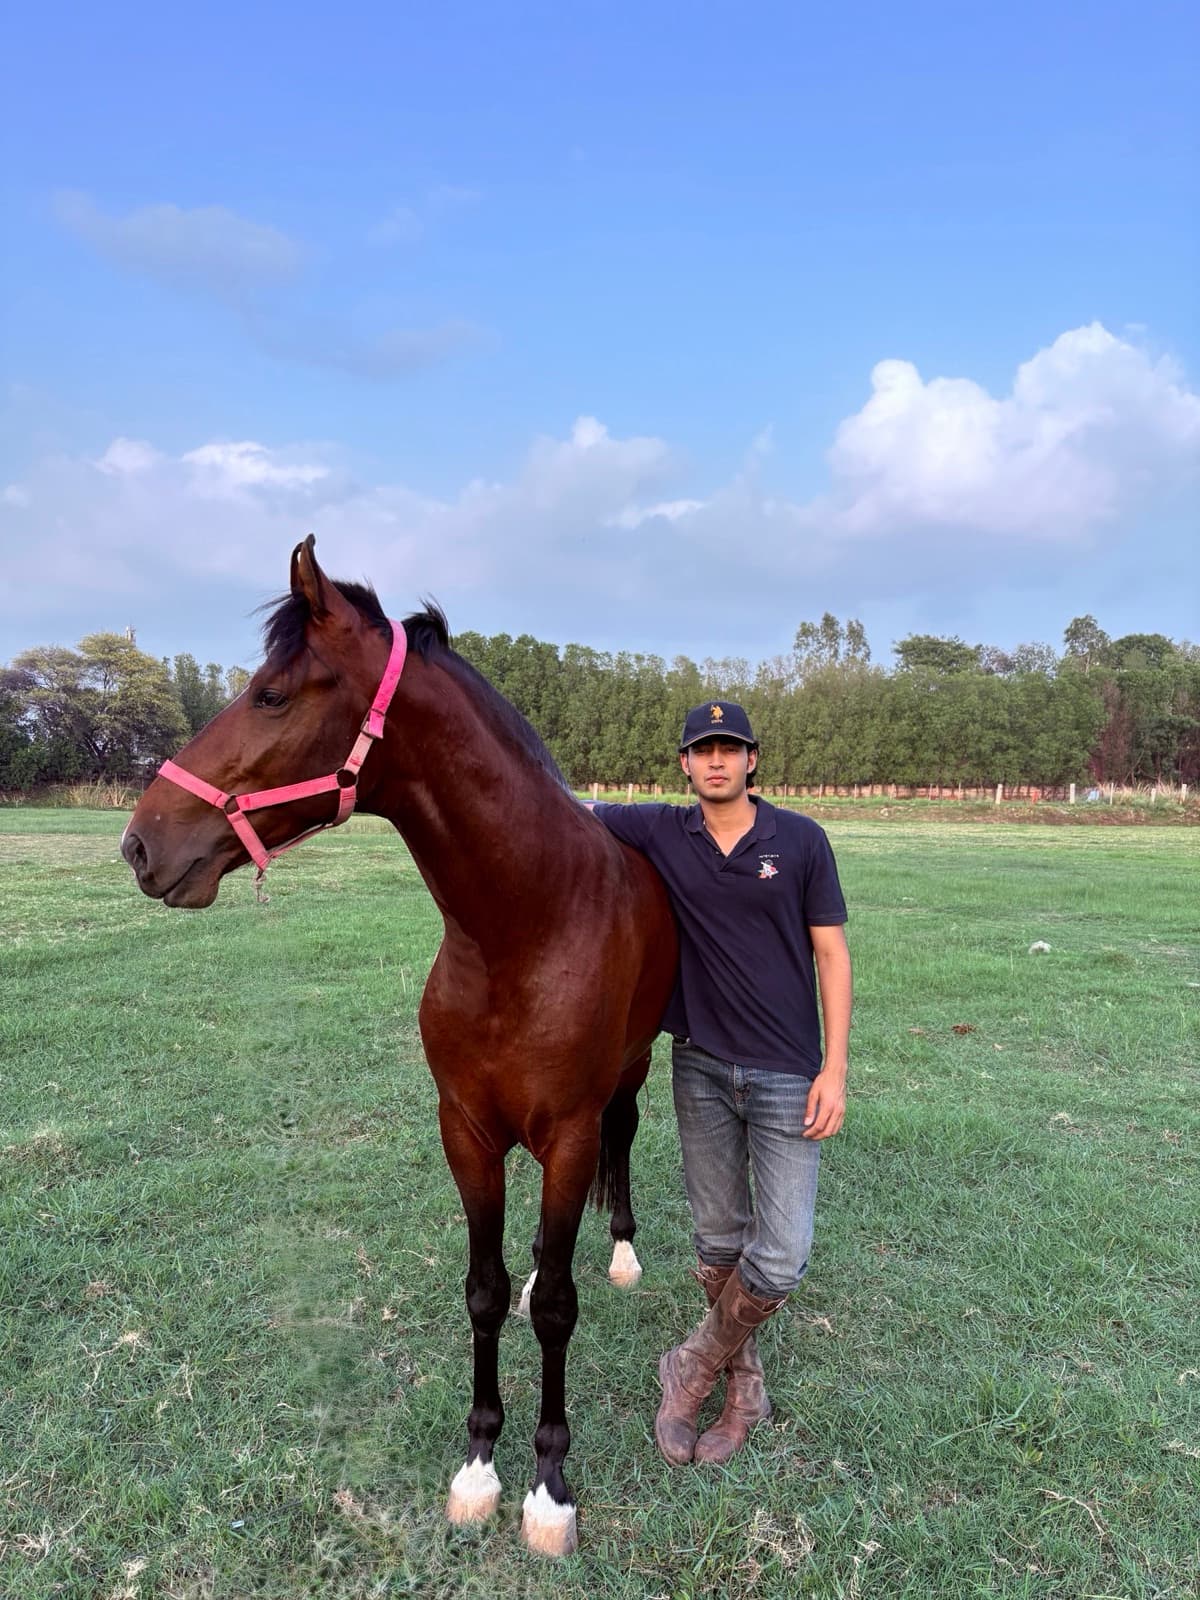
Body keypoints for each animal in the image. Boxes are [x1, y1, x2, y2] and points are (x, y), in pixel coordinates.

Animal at [121, 535, 677, 1557]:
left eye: (272, 693)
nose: (141, 845)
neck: (523, 927)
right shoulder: (466, 1131)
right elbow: (488, 1292)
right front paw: (479, 1465)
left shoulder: (570, 1131)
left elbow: (558, 1307)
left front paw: (548, 1488)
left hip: (632, 1067)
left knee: (624, 1136)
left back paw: (620, 1251)